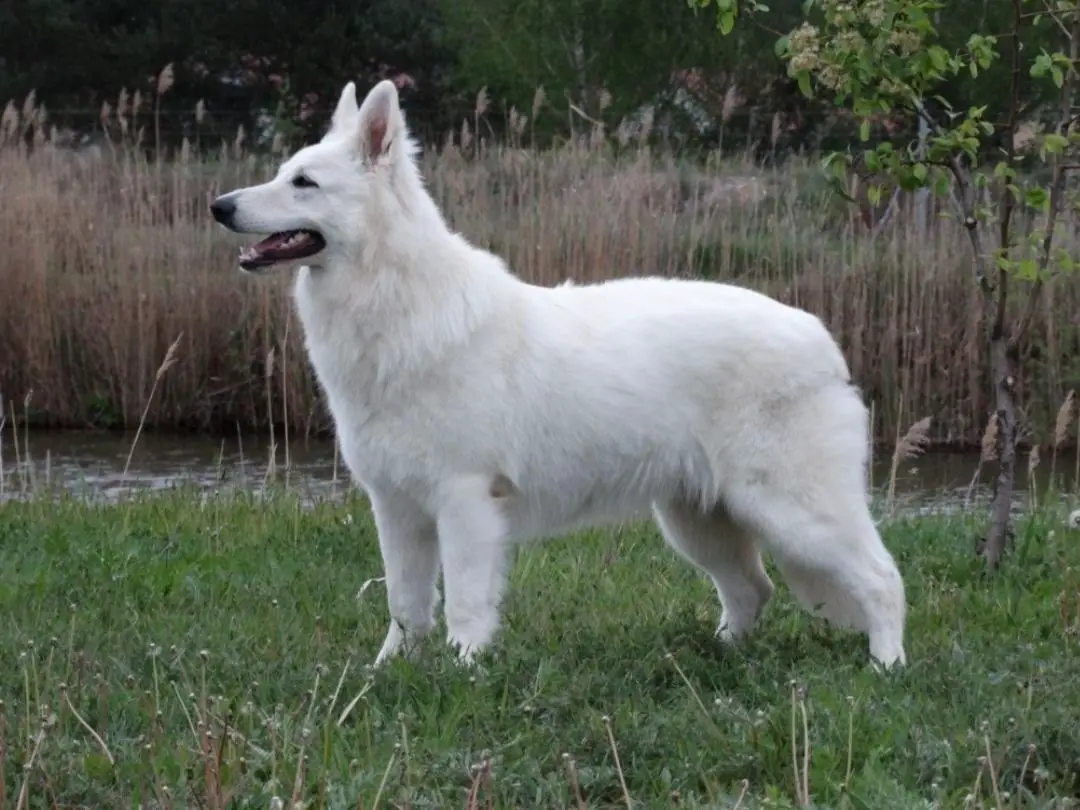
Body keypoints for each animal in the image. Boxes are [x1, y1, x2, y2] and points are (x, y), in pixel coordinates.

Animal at [209, 79, 908, 671]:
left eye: (304, 183)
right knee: (751, 591)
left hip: (794, 511)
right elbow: (406, 608)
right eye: (282, 173)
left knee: (882, 579)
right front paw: (387, 675)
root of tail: (822, 339)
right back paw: (719, 658)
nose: (218, 206)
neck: (395, 301)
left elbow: (464, 605)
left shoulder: (465, 503)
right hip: (698, 521)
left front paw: (463, 674)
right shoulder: (398, 509)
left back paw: (886, 668)